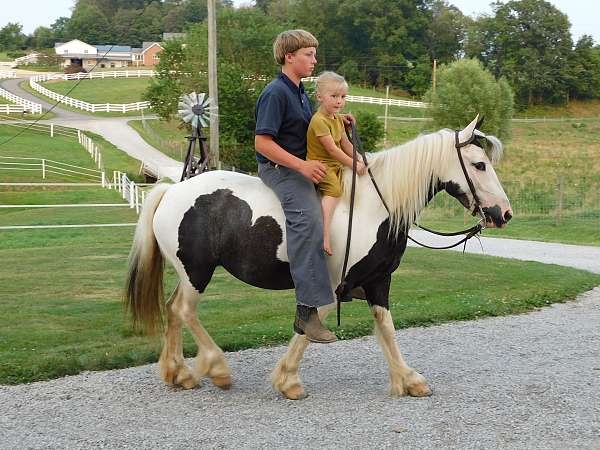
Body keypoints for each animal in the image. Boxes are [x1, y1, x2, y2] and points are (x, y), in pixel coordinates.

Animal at [125, 115, 510, 398]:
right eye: (479, 164)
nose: (503, 213)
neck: (371, 206)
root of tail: (172, 190)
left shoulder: (377, 282)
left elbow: (386, 328)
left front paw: (409, 379)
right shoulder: (333, 282)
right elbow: (312, 321)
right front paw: (288, 381)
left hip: (189, 273)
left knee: (173, 310)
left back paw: (178, 373)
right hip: (197, 272)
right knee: (184, 310)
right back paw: (216, 368)